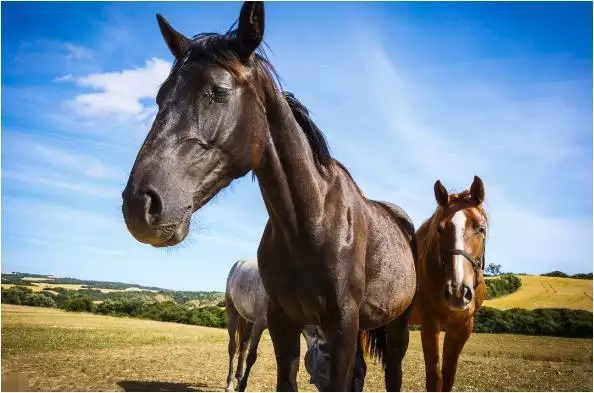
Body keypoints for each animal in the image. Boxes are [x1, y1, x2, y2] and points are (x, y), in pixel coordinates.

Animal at [120, 2, 416, 388]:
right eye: (158, 97)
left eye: (218, 91)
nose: (138, 205)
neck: (311, 222)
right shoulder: (282, 322)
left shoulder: (342, 325)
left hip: (396, 328)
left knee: (393, 373)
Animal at [410, 176, 488, 390]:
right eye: (440, 229)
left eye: (481, 229)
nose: (457, 292)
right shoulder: (430, 325)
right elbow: (435, 377)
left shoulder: (462, 327)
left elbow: (448, 376)